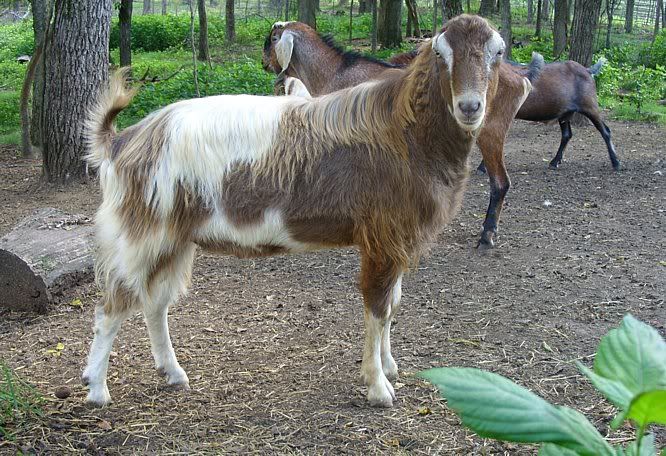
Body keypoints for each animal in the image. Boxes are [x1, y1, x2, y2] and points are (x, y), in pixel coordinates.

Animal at [263, 20, 542, 248]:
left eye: (273, 39)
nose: (264, 63)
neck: (334, 71)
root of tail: (521, 78)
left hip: (490, 130)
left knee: (500, 182)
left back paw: (486, 235)